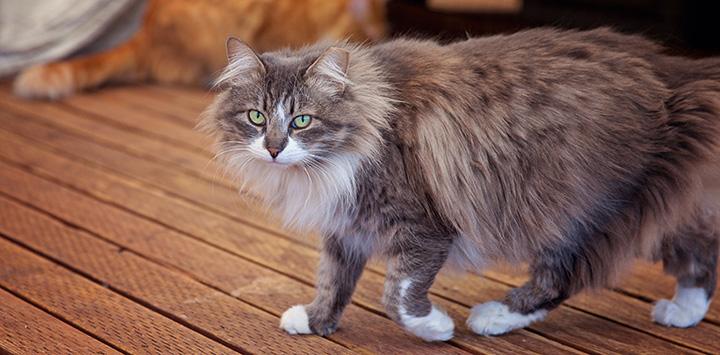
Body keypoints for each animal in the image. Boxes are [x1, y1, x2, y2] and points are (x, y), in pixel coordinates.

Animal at [201, 27, 720, 342]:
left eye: (302, 121)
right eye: (257, 117)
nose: (273, 149)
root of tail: (680, 72)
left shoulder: (424, 227)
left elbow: (397, 295)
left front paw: (435, 327)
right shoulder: (346, 228)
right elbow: (333, 280)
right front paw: (314, 320)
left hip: (578, 212)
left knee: (561, 278)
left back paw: (492, 316)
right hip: (660, 201)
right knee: (698, 259)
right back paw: (682, 312)